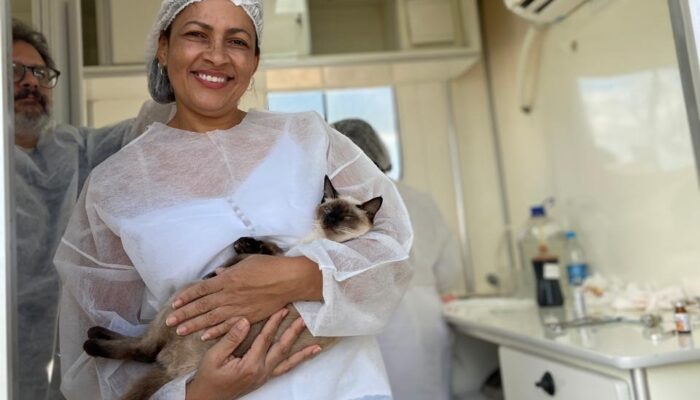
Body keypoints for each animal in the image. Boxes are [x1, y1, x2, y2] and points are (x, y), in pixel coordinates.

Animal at [85, 177, 386, 400]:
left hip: (178, 301)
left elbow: (255, 255)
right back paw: (96, 332)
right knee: (143, 348)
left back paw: (91, 342)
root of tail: (175, 371)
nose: (330, 221)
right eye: (328, 211)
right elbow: (267, 247)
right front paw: (243, 242)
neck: (318, 241)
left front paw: (241, 248)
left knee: (145, 350)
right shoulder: (282, 256)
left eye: (345, 218)